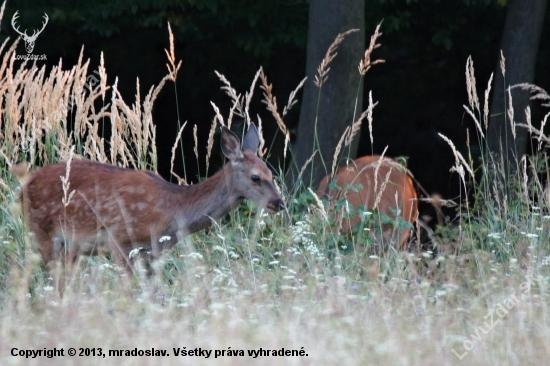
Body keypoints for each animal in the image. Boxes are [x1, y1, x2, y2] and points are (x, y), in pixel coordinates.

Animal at [12, 124, 284, 270]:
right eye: (255, 177)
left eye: (271, 173)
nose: (279, 203)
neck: (173, 211)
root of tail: (23, 187)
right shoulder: (119, 239)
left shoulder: (154, 252)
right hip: (44, 232)